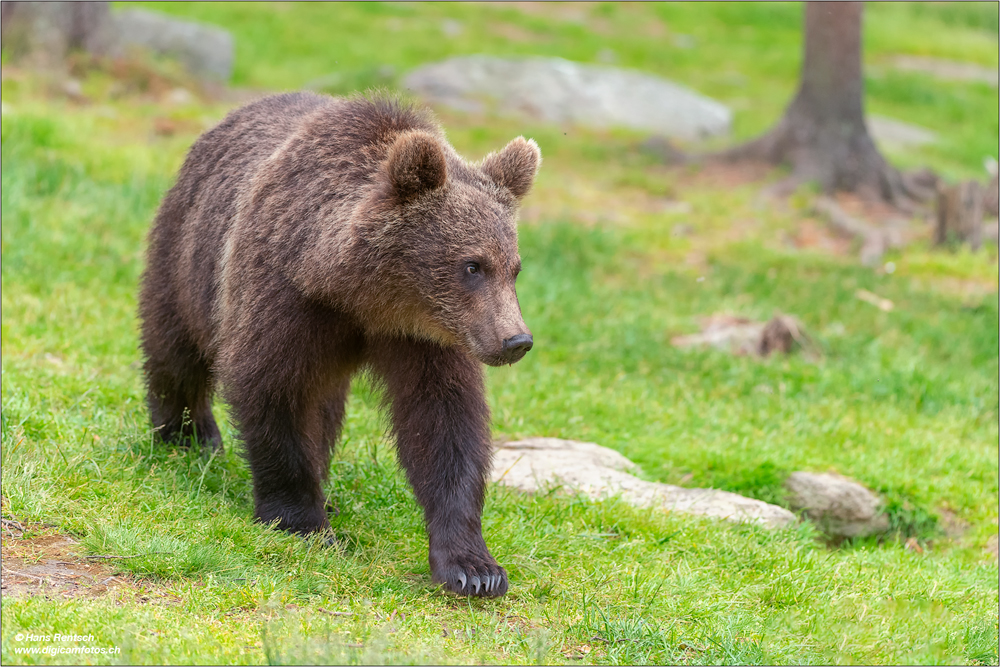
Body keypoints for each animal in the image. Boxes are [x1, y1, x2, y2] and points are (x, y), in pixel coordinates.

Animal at [139, 91, 540, 596]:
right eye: (472, 265)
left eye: (514, 267)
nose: (516, 340)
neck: (361, 295)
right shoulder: (286, 293)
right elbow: (270, 386)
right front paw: (301, 520)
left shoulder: (428, 337)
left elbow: (446, 423)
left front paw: (474, 567)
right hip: (187, 253)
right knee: (175, 349)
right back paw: (188, 436)